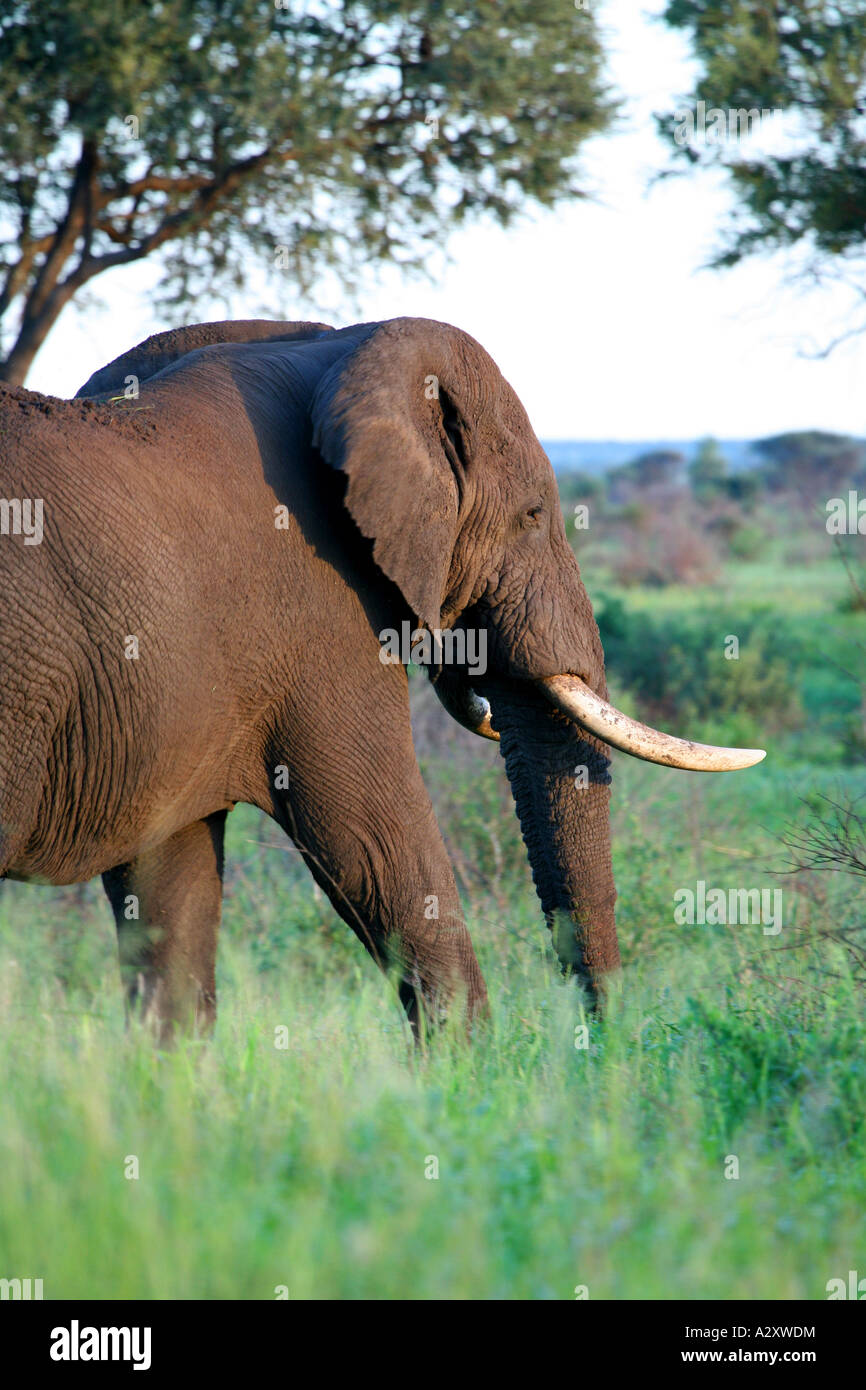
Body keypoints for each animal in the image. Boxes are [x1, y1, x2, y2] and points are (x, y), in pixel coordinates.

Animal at [0, 312, 767, 1034]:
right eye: (533, 514)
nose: (602, 1047)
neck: (345, 350)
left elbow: (168, 895)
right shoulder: (322, 614)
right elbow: (379, 846)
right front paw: (468, 1077)